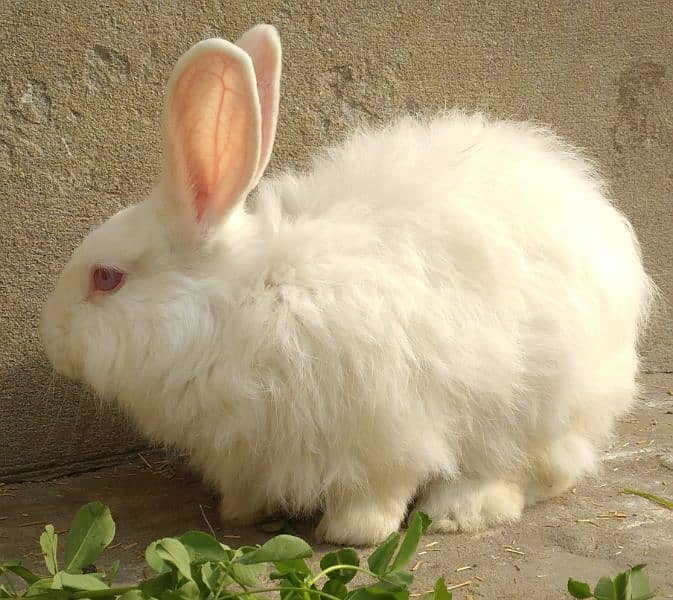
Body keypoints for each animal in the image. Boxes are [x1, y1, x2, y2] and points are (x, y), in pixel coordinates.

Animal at [39, 25, 652, 548]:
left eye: (106, 278)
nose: (54, 346)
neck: (243, 301)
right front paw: (242, 512)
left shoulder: (386, 426)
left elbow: (379, 489)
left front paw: (354, 533)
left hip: (541, 402)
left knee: (537, 470)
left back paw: (462, 510)